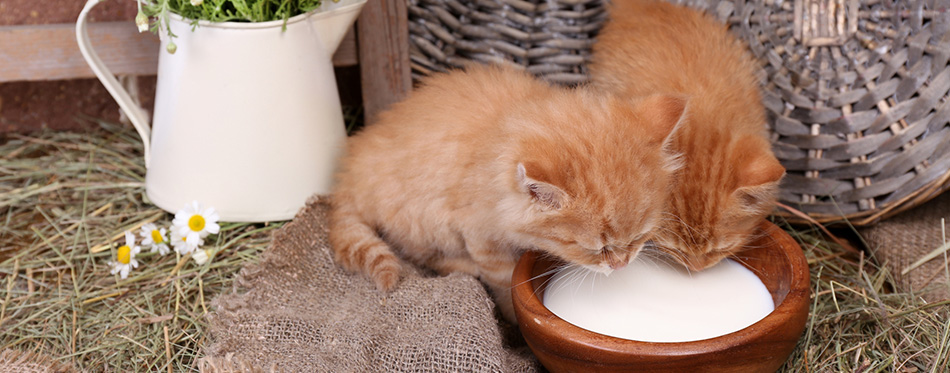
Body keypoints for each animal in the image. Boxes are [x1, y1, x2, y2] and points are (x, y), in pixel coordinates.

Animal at [330, 64, 688, 320]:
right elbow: (505, 284)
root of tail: (352, 170)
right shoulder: (480, 236)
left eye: (639, 238)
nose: (621, 265)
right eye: (595, 249)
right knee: (426, 256)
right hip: (422, 219)